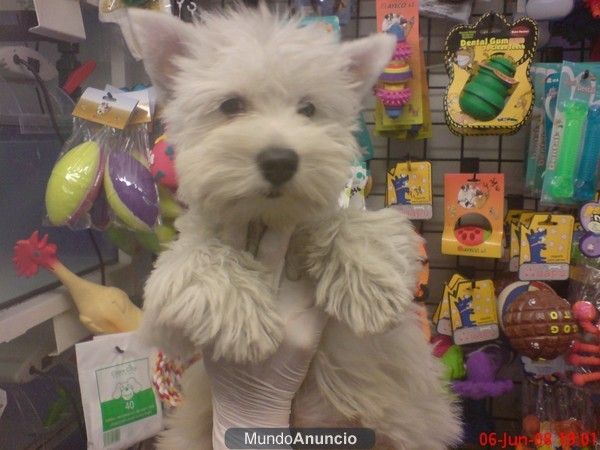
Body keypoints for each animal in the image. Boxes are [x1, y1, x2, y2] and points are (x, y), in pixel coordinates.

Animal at [130, 4, 460, 450]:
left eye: (308, 110)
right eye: (230, 105)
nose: (280, 161)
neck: (266, 220)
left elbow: (348, 222)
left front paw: (370, 287)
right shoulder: (167, 314)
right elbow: (197, 257)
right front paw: (243, 315)